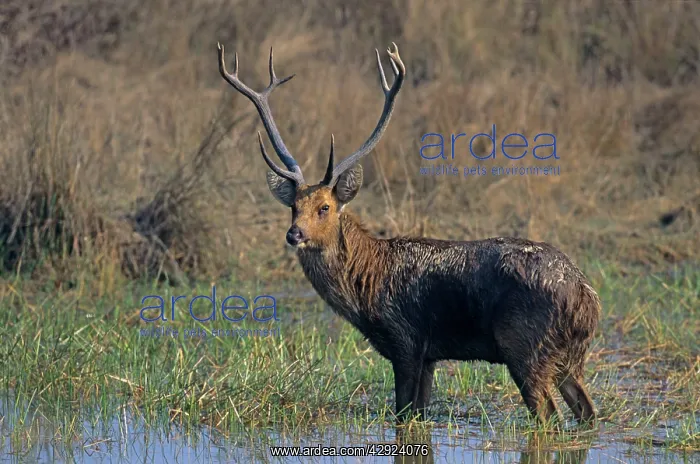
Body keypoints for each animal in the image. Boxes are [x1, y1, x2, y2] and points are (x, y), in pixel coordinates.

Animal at [216, 41, 600, 426]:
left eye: (324, 207)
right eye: (293, 206)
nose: (293, 234)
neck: (365, 287)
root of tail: (585, 298)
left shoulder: (406, 341)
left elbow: (402, 416)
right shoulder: (429, 355)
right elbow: (418, 417)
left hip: (523, 345)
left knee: (549, 417)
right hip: (567, 357)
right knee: (587, 412)